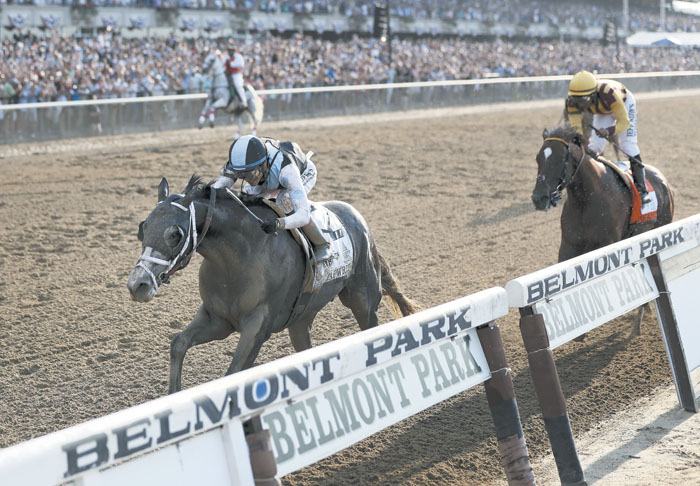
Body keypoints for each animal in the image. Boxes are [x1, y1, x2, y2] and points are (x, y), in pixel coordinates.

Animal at [127, 176, 419, 393]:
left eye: (175, 234)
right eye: (143, 228)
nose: (137, 284)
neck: (238, 257)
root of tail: (358, 218)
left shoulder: (257, 326)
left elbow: (233, 372)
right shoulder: (217, 319)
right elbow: (179, 343)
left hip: (362, 300)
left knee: (370, 328)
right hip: (301, 318)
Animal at [531, 125, 674, 333]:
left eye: (560, 158)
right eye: (538, 158)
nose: (538, 198)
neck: (586, 199)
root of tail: (665, 183)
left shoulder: (607, 246)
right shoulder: (568, 246)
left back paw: (638, 322)